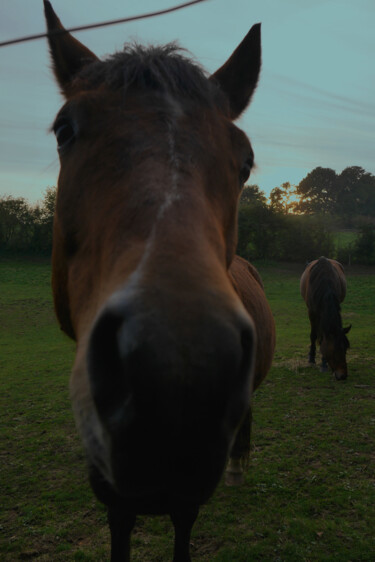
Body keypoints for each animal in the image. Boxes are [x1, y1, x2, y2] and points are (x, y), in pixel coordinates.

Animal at [44, 2, 276, 556]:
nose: (179, 368)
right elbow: (120, 522)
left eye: (246, 160)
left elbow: (183, 523)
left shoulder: (186, 489)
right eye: (64, 130)